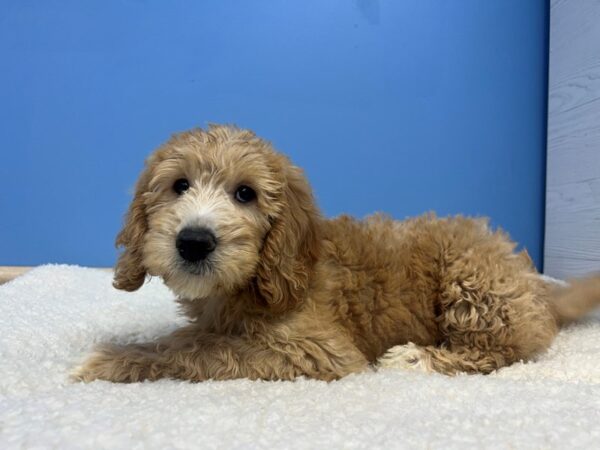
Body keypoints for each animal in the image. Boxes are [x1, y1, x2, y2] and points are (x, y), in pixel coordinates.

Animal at [71, 124, 600, 384]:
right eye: (179, 186)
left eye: (245, 194)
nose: (194, 241)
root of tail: (535, 284)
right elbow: (193, 338)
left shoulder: (319, 352)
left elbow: (200, 351)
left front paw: (111, 360)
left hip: (472, 282)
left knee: (500, 352)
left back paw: (416, 358)